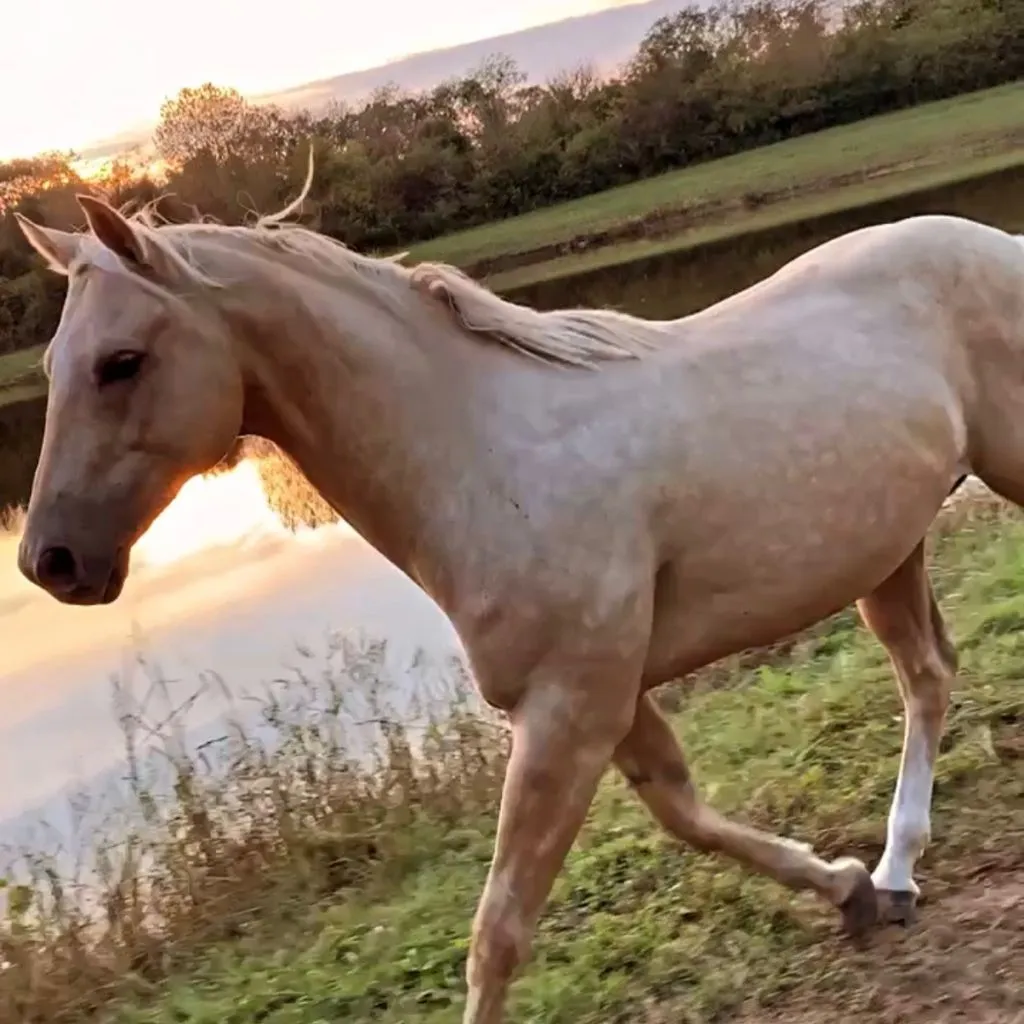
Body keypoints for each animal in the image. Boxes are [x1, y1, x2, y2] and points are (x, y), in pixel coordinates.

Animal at [13, 163, 1024, 1022]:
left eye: (122, 361)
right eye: (58, 364)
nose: (49, 561)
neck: (484, 455)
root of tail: (988, 239)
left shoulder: (569, 708)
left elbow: (498, 929)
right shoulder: (600, 698)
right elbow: (685, 812)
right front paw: (847, 890)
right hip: (885, 556)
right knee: (927, 675)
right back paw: (895, 874)